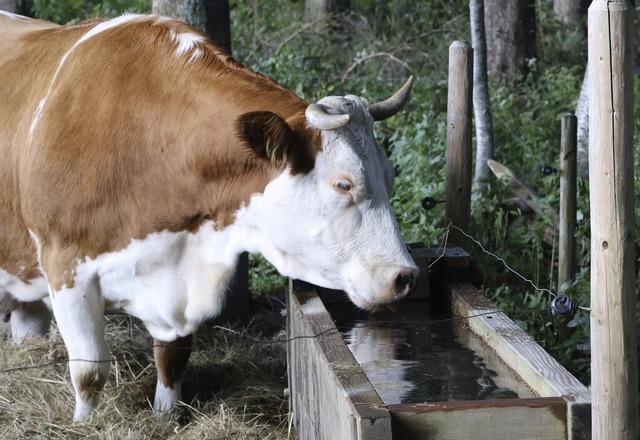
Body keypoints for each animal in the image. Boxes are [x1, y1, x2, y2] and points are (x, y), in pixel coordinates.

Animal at [0, 12, 418, 422]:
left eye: (390, 175)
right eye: (344, 184)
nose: (405, 276)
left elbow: (172, 358)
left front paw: (166, 419)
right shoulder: (65, 266)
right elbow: (89, 371)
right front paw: (84, 425)